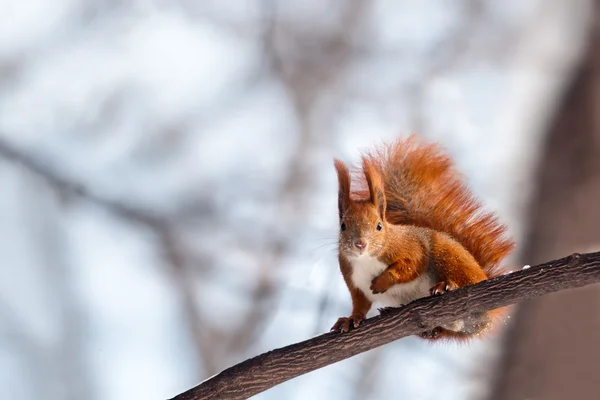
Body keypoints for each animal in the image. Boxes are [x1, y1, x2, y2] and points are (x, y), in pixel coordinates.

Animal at [330, 135, 512, 340]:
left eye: (379, 225)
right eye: (343, 226)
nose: (360, 244)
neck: (366, 259)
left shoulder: (410, 246)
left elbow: (412, 265)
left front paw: (383, 280)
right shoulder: (353, 279)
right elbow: (360, 304)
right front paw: (350, 319)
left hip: (449, 256)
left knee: (466, 279)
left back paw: (448, 285)